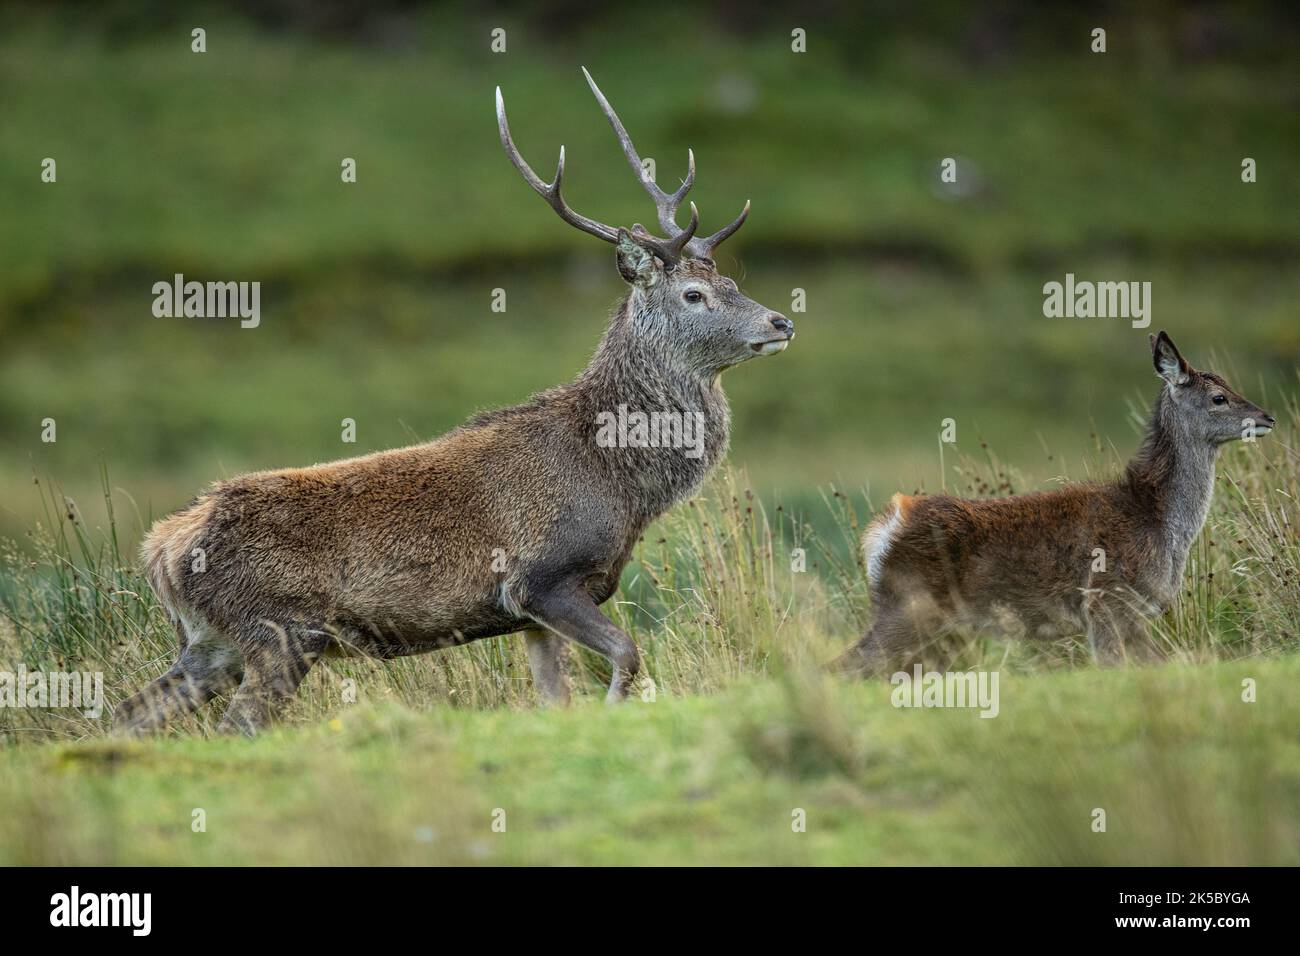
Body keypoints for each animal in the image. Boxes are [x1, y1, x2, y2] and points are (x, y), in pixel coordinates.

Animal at [119, 67, 790, 738]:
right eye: (695, 294)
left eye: (734, 281)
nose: (781, 321)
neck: (622, 484)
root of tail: (162, 549)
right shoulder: (542, 579)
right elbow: (628, 655)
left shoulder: (530, 617)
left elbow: (556, 699)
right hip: (279, 631)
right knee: (237, 726)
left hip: (212, 643)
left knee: (130, 712)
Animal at [837, 332, 1274, 676]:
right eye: (1218, 397)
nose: (1267, 417)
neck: (1159, 523)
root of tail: (887, 525)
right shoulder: (1107, 602)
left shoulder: (1130, 616)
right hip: (908, 608)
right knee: (845, 666)